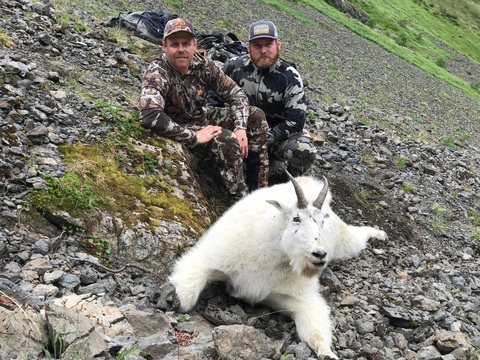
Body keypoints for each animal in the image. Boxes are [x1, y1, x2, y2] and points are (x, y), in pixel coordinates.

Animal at [169, 174, 386, 358]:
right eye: (296, 218)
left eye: (321, 221)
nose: (320, 255)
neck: (273, 251)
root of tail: (309, 182)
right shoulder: (209, 259)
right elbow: (188, 295)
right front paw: (171, 302)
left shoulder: (297, 296)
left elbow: (315, 331)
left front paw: (328, 354)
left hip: (342, 239)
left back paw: (380, 234)